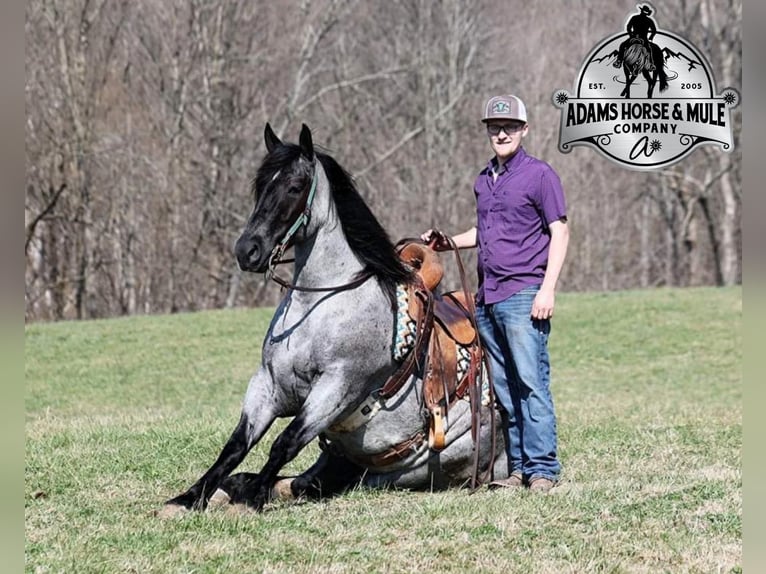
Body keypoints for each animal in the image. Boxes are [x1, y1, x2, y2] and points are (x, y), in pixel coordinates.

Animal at [162, 122, 510, 516]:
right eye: (260, 185)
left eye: (295, 186)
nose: (247, 250)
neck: (319, 306)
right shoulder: (267, 385)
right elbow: (236, 445)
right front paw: (189, 497)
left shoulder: (337, 388)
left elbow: (284, 442)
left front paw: (253, 497)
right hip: (340, 458)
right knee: (302, 480)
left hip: (403, 471)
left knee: (310, 483)